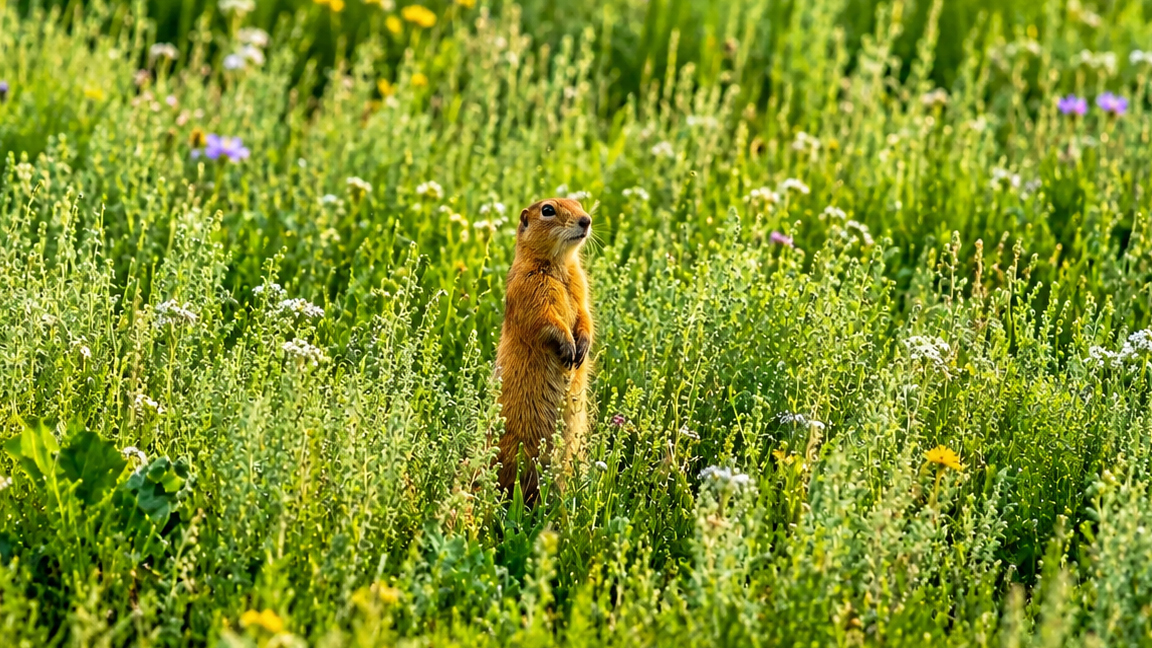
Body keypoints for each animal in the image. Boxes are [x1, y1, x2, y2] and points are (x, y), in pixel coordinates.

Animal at [494, 198, 594, 504]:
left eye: (579, 202)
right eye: (548, 210)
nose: (586, 219)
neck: (558, 266)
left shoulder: (580, 285)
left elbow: (585, 315)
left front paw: (582, 347)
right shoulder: (528, 287)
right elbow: (546, 320)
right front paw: (568, 347)